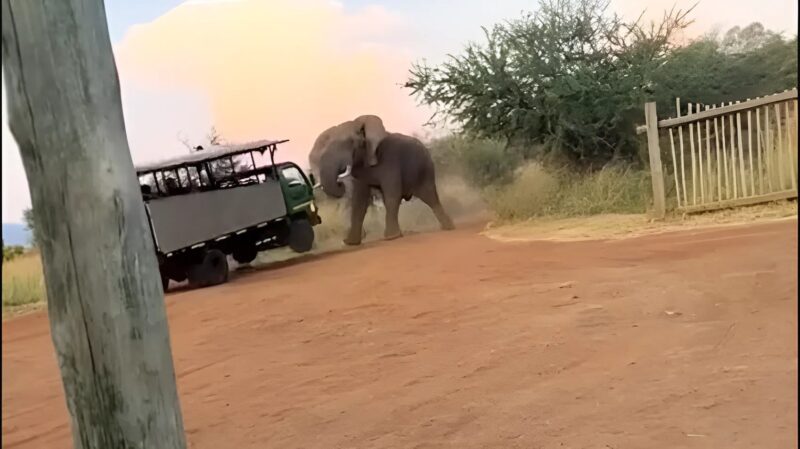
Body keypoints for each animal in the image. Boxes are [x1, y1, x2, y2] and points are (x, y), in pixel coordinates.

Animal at [313, 129, 455, 245]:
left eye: (350, 143)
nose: (340, 183)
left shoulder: (389, 159)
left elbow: (392, 194)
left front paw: (392, 237)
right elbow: (359, 201)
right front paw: (350, 243)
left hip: (425, 168)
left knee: (430, 196)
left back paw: (448, 227)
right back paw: (448, 227)